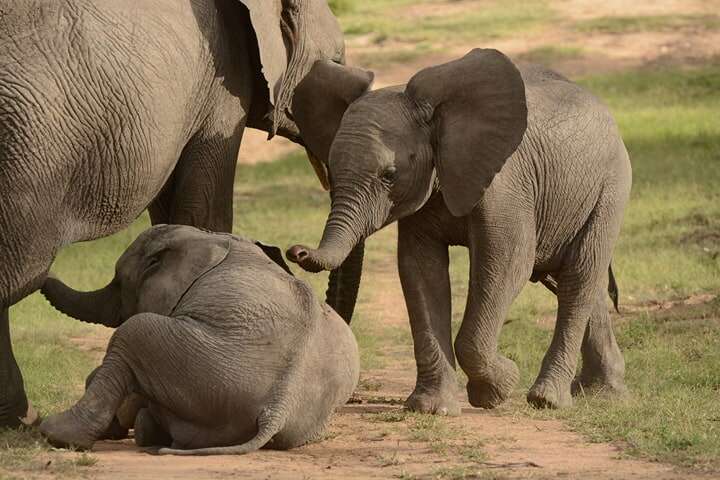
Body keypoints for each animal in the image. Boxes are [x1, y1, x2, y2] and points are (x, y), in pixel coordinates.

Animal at [0, 0, 360, 428]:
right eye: (337, 61)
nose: (296, 252)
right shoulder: (222, 85)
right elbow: (202, 210)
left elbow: (171, 211)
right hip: (29, 153)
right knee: (16, 275)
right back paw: (22, 418)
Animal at [38, 225, 358, 454]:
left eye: (119, 283)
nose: (47, 269)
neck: (213, 237)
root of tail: (276, 410)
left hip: (204, 368)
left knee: (133, 331)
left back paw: (55, 433)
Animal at [284, 50, 632, 414]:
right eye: (332, 173)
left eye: (389, 175)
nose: (296, 251)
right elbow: (420, 270)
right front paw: (431, 408)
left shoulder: (505, 185)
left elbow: (507, 261)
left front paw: (497, 389)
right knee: (575, 280)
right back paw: (602, 393)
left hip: (610, 188)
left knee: (579, 275)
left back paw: (548, 400)